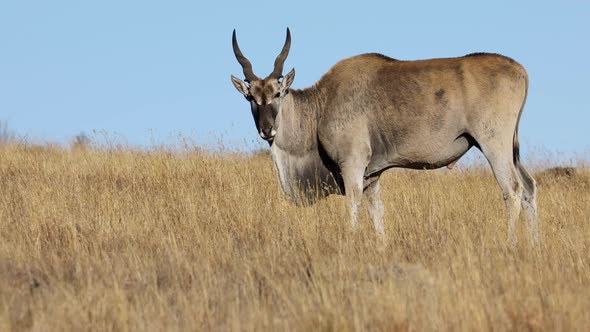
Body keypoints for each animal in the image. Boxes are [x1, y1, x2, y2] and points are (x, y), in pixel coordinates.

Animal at [231, 29, 540, 246]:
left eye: (277, 94)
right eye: (251, 97)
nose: (267, 130)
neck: (321, 104)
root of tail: (519, 69)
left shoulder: (353, 166)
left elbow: (353, 205)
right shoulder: (373, 175)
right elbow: (377, 214)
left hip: (493, 144)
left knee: (512, 189)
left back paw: (510, 245)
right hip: (511, 149)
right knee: (528, 187)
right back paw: (534, 247)